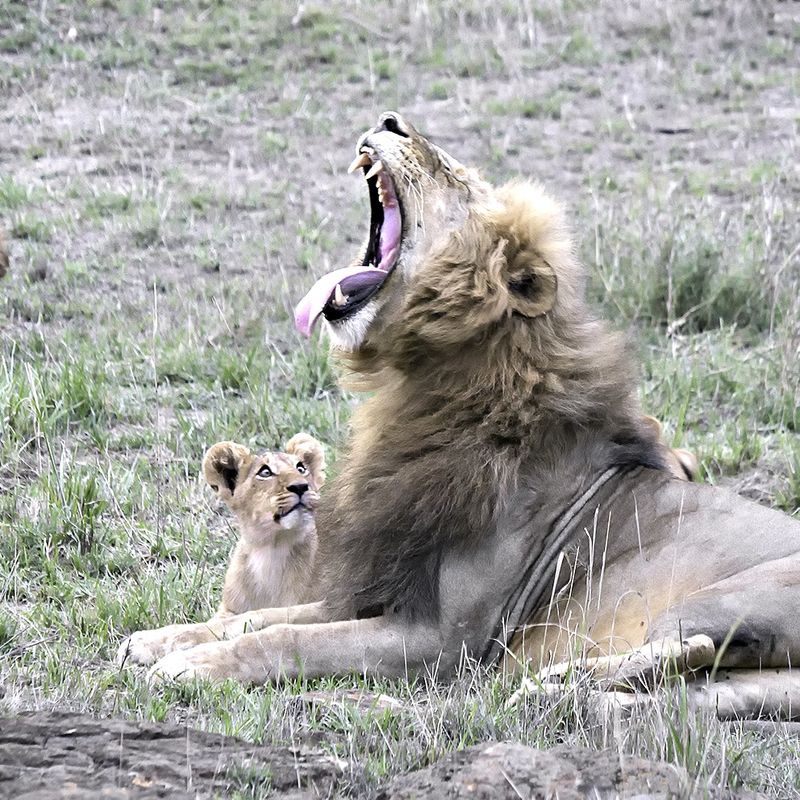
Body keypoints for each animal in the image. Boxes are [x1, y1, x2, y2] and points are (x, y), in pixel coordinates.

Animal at [122, 113, 800, 718]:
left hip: (718, 596)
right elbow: (258, 617)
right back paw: (563, 694)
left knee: (691, 644)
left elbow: (287, 638)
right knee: (698, 686)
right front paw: (162, 639)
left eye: (456, 177)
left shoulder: (445, 638)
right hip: (762, 682)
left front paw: (191, 665)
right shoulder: (381, 587)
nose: (389, 119)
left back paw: (550, 680)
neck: (427, 389)